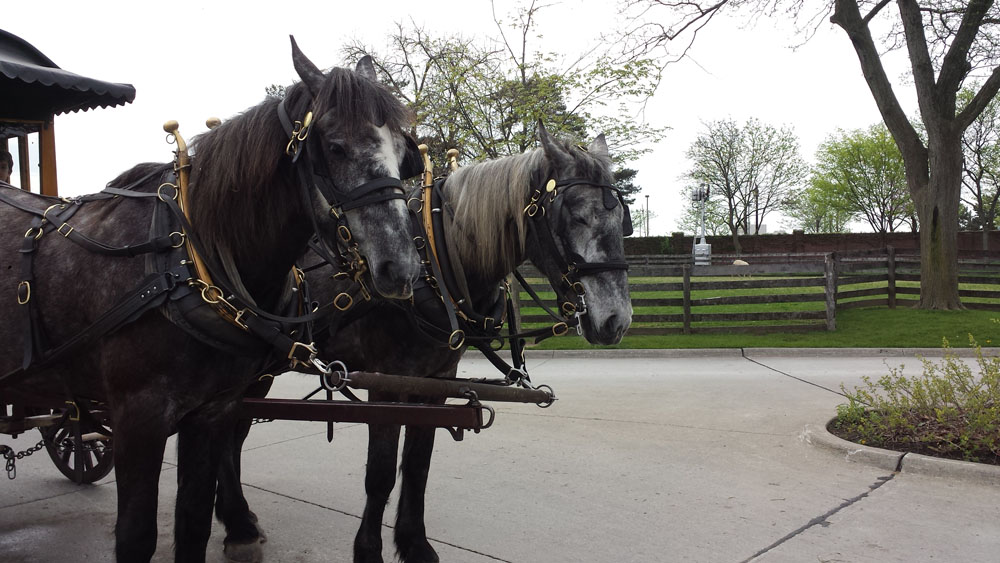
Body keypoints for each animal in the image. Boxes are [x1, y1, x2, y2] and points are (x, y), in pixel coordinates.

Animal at [0, 37, 420, 560]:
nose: (401, 268)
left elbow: (194, 522)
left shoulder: (211, 411)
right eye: (335, 146)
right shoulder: (139, 419)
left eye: (403, 152)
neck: (183, 259)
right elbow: (136, 536)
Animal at [223, 124, 632, 563]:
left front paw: (415, 544)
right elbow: (381, 474)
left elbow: (418, 466)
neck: (433, 263)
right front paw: (369, 551)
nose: (617, 319)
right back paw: (237, 527)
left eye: (621, 220)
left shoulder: (435, 381)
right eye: (575, 214)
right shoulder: (386, 385)